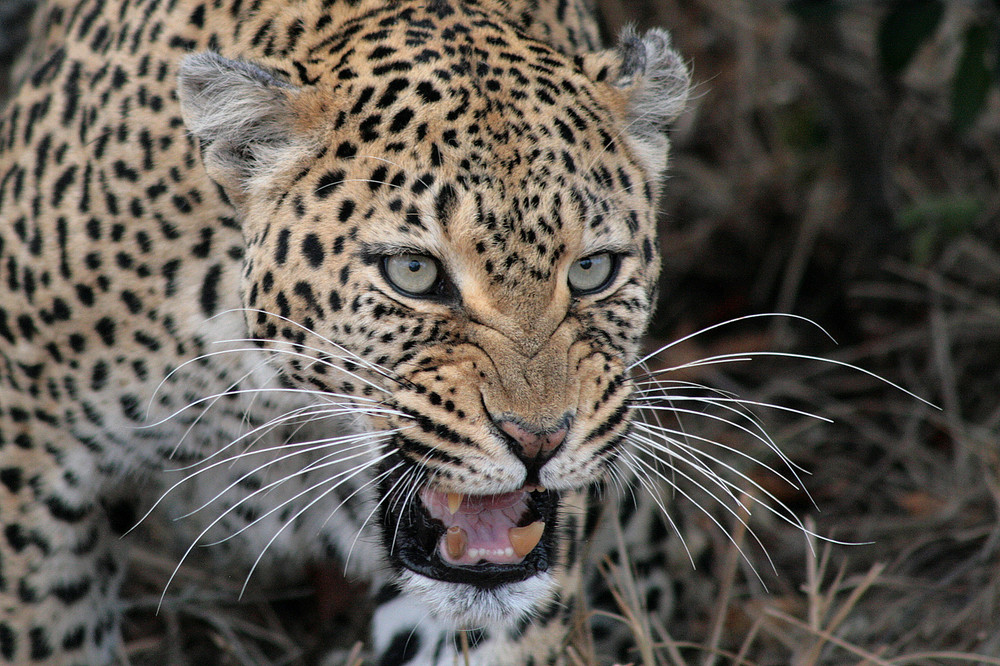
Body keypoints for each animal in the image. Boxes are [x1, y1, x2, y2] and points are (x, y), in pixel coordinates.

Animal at [0, 0, 692, 660]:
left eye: (592, 269)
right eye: (413, 272)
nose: (539, 441)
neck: (275, 398)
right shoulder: (28, 458)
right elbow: (47, 630)